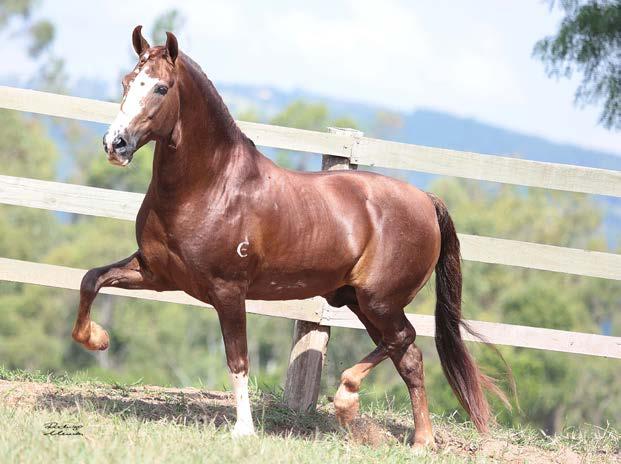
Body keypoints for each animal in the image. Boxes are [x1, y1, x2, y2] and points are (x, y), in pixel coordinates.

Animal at [72, 27, 506, 448]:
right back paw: (419, 440)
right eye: (127, 82)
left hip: (379, 300)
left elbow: (238, 360)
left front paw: (244, 430)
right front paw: (97, 339)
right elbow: (91, 279)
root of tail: (426, 201)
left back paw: (350, 401)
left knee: (404, 339)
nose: (115, 144)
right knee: (409, 354)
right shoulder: (156, 274)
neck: (211, 186)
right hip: (359, 301)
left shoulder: (228, 291)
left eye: (161, 88)